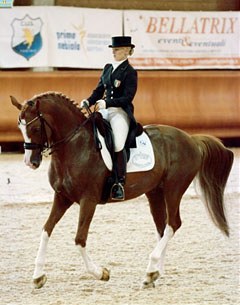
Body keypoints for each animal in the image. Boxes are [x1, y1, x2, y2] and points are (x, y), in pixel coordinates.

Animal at [10, 92, 233, 288]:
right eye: (20, 127)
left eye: (35, 127)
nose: (30, 162)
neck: (74, 146)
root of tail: (191, 139)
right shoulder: (62, 198)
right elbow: (46, 230)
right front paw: (38, 276)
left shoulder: (88, 200)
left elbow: (79, 239)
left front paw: (101, 273)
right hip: (155, 193)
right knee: (162, 228)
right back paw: (154, 273)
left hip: (174, 189)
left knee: (173, 224)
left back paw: (150, 271)